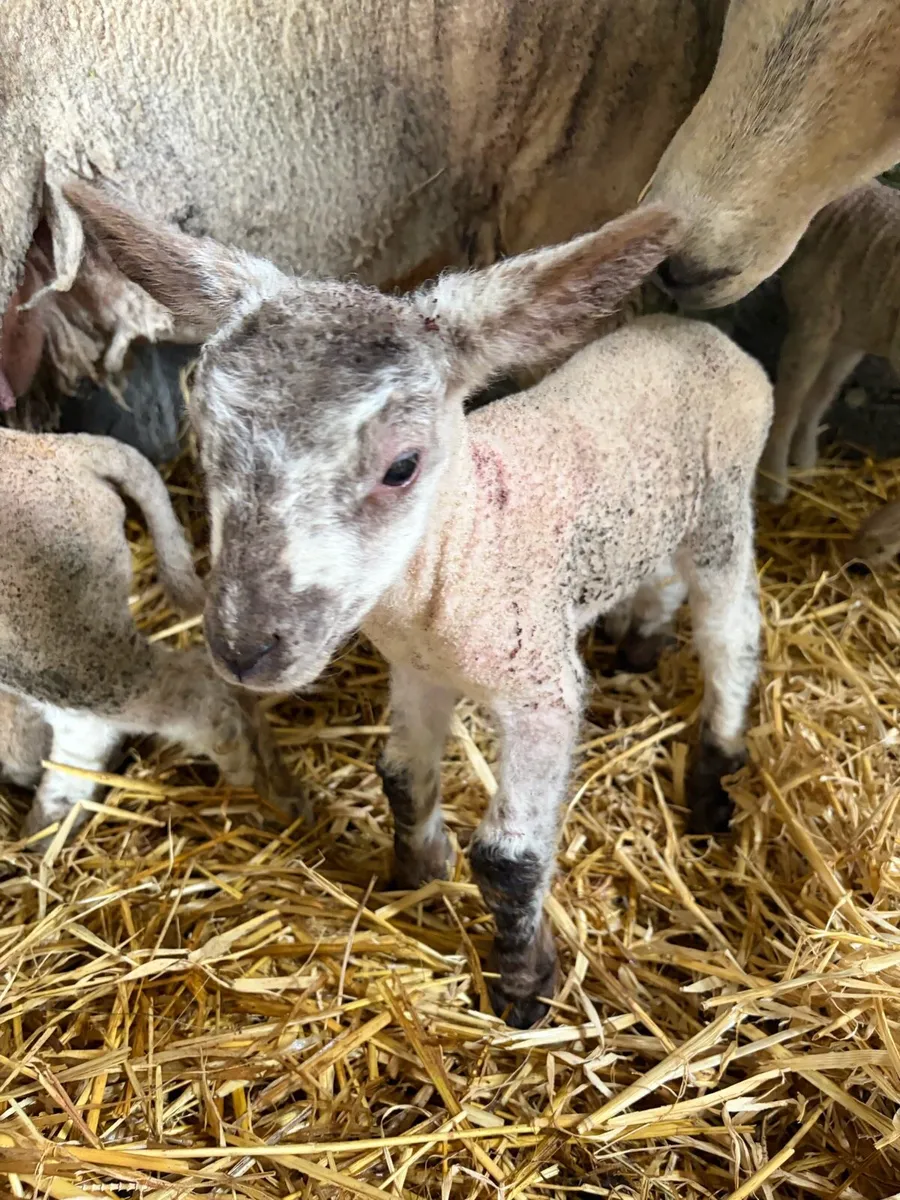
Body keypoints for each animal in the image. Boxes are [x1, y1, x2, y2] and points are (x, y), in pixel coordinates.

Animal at [68, 188, 772, 1027]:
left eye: (402, 466)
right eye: (203, 446)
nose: (244, 648)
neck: (459, 552)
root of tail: (705, 334)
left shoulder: (541, 686)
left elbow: (510, 859)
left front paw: (524, 988)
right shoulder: (416, 670)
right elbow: (400, 776)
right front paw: (415, 875)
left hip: (723, 508)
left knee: (732, 632)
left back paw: (713, 775)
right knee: (659, 573)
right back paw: (640, 643)